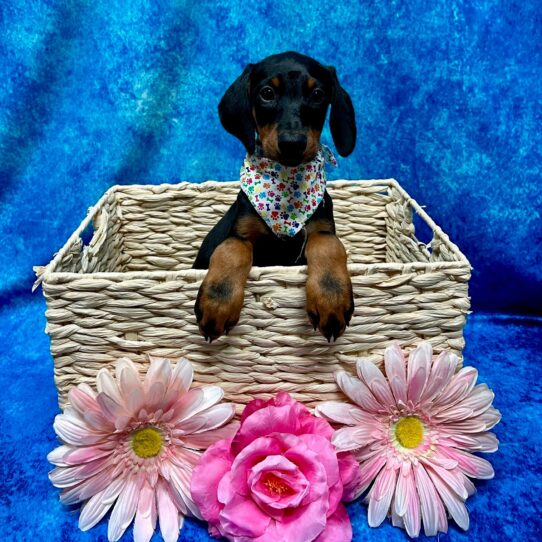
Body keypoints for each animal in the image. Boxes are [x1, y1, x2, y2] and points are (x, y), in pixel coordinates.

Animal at [194, 53, 356, 346]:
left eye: (317, 94)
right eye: (267, 93)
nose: (292, 143)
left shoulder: (322, 228)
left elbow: (328, 243)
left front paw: (331, 298)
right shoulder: (240, 231)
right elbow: (233, 247)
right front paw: (218, 301)